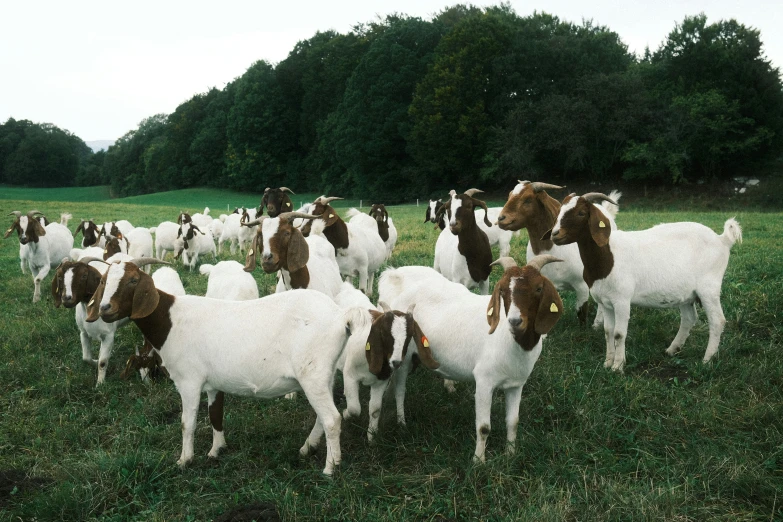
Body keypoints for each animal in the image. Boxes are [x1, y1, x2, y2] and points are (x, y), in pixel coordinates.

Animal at [87, 258, 362, 474]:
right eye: (104, 281)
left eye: (133, 281)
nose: (105, 308)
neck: (171, 320)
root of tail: (340, 316)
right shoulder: (212, 382)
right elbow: (215, 414)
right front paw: (216, 449)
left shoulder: (189, 381)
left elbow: (187, 422)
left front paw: (185, 460)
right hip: (324, 374)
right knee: (324, 415)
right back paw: (308, 447)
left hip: (312, 374)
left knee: (332, 419)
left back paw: (330, 467)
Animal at [380, 255, 564, 460]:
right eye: (502, 291)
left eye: (538, 288)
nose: (515, 321)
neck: (510, 340)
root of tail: (395, 278)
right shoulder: (484, 381)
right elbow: (484, 427)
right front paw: (478, 460)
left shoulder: (516, 385)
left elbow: (513, 421)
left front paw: (510, 454)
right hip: (403, 356)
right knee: (400, 390)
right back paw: (402, 424)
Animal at [544, 192, 740, 370]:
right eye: (560, 210)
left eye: (581, 213)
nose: (555, 234)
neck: (608, 255)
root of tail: (722, 240)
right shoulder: (605, 302)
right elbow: (608, 332)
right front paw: (607, 363)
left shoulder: (622, 300)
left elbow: (619, 334)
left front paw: (618, 366)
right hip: (686, 294)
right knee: (689, 318)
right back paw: (672, 349)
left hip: (709, 288)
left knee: (717, 321)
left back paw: (707, 360)